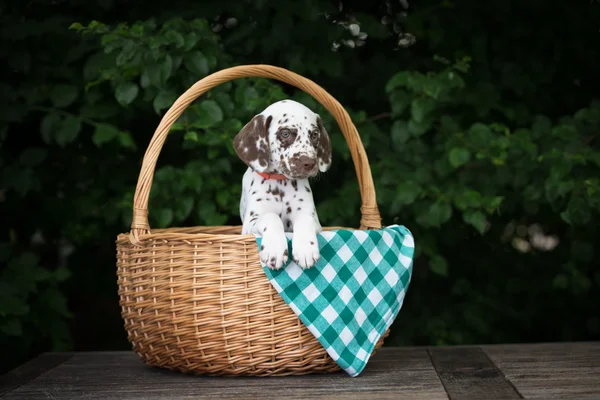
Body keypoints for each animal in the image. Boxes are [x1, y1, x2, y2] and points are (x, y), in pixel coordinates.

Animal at [233, 99, 332, 268]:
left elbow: (304, 220)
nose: (309, 162)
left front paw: (305, 248)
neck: (280, 184)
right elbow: (271, 217)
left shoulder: (313, 220)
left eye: (314, 135)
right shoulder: (249, 224)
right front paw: (275, 250)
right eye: (285, 133)